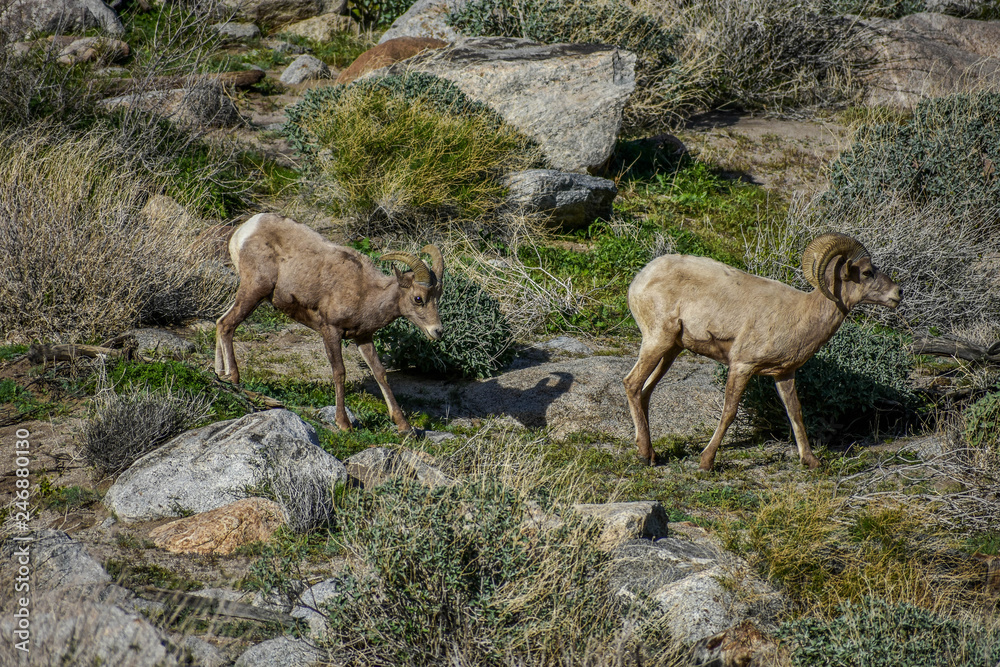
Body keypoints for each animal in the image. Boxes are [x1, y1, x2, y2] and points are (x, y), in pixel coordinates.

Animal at [215, 213, 444, 434]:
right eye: (418, 298)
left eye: (438, 296)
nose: (437, 331)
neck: (365, 291)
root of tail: (245, 231)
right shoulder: (331, 331)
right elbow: (339, 372)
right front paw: (343, 424)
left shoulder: (363, 337)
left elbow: (380, 373)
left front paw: (404, 426)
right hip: (254, 290)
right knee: (227, 324)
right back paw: (233, 377)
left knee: (219, 322)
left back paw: (220, 373)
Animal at [623, 233, 902, 471]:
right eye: (867, 272)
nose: (898, 293)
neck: (801, 314)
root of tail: (641, 278)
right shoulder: (742, 366)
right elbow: (729, 412)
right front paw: (706, 462)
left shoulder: (784, 374)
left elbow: (796, 413)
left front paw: (811, 461)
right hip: (657, 340)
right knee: (633, 384)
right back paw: (645, 456)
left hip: (672, 350)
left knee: (646, 392)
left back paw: (649, 452)